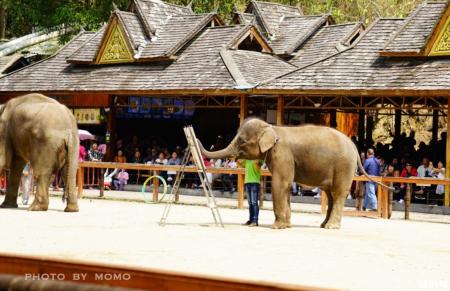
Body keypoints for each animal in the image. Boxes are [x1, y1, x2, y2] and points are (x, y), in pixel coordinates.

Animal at [200, 117, 386, 229]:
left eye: (242, 141)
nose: (199, 137)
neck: (272, 128)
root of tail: (354, 146)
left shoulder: (283, 154)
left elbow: (280, 183)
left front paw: (277, 227)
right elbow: (286, 186)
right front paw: (287, 226)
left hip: (343, 166)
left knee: (338, 193)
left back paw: (331, 227)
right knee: (330, 194)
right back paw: (323, 225)